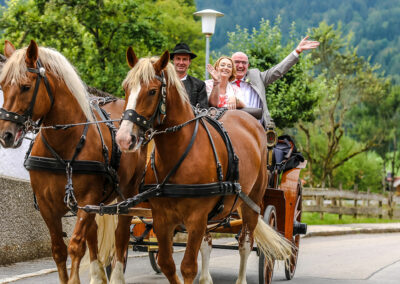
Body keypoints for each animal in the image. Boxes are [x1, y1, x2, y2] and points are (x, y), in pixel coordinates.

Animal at [0, 40, 147, 284]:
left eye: (25, 87)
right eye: (2, 86)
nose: (6, 135)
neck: (65, 145)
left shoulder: (87, 199)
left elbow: (76, 246)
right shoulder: (47, 205)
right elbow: (59, 250)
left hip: (127, 193)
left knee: (121, 235)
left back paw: (116, 274)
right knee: (93, 235)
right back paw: (98, 276)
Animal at [114, 48, 292, 284]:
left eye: (152, 91)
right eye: (126, 88)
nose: (124, 139)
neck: (179, 152)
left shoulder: (196, 218)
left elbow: (188, 267)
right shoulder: (162, 218)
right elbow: (167, 264)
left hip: (252, 203)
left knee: (245, 244)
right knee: (207, 244)